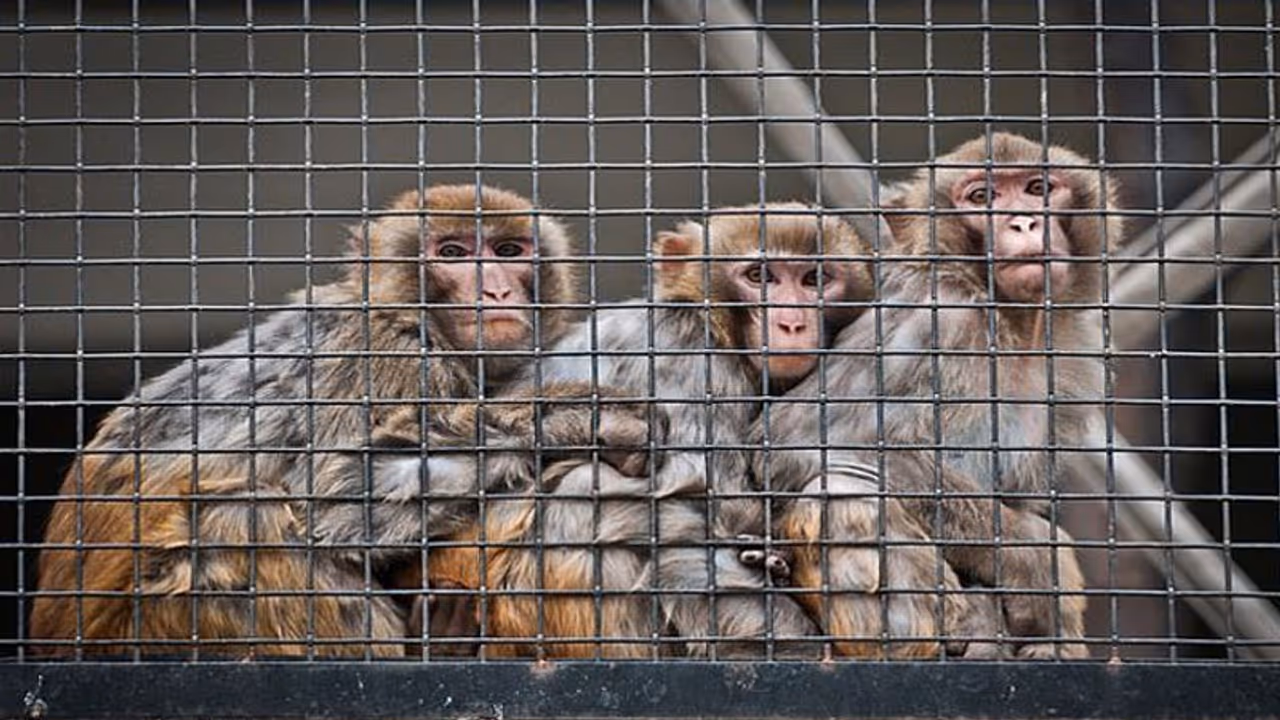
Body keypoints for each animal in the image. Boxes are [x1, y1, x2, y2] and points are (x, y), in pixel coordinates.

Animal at [30, 184, 653, 658]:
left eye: (507, 249)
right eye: (453, 252)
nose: (495, 289)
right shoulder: (391, 357)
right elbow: (336, 497)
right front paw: (577, 417)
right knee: (243, 516)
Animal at [755, 133, 1116, 660]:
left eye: (1037, 189)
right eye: (982, 198)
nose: (1023, 221)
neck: (1011, 324)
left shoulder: (1074, 358)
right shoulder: (938, 321)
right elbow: (795, 444)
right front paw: (1038, 561)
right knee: (839, 489)